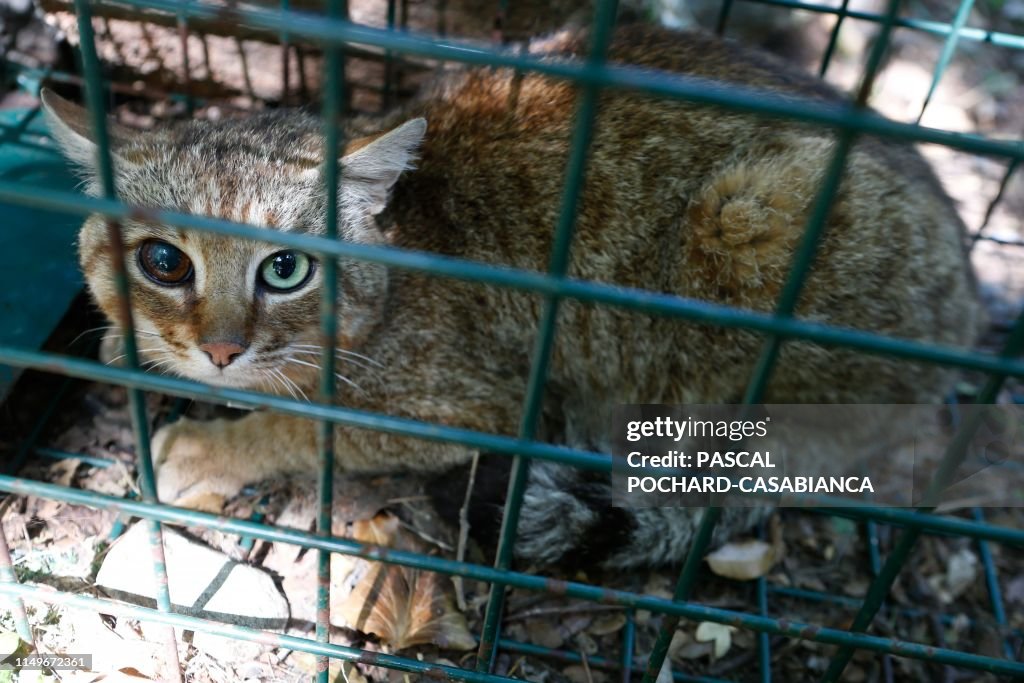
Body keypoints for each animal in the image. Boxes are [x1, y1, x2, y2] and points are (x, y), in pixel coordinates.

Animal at [44, 25, 978, 573]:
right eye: (165, 261)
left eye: (284, 271)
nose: (222, 347)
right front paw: (134, 345)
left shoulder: (466, 405)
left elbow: (304, 426)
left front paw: (212, 445)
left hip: (749, 219)